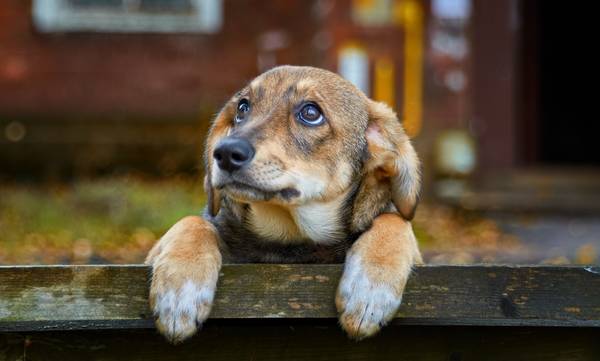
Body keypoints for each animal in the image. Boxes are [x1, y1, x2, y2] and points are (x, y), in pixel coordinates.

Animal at [144, 65, 422, 344]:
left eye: (311, 113)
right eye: (243, 107)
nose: (224, 153)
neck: (289, 236)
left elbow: (395, 220)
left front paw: (371, 290)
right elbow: (192, 222)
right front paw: (179, 291)